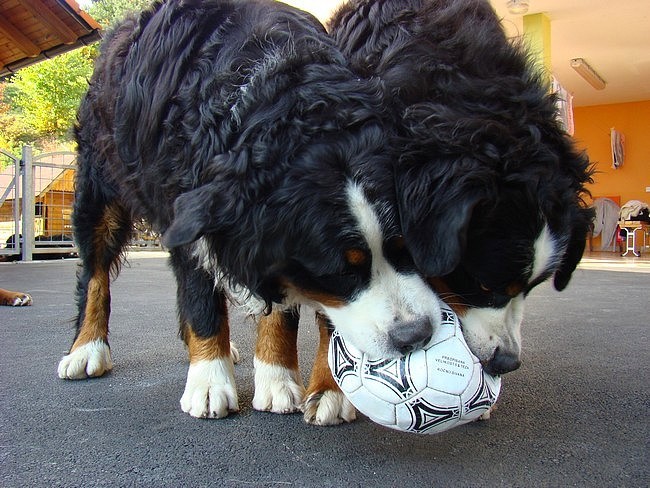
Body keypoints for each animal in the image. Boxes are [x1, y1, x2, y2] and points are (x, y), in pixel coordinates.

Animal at [58, 0, 440, 420]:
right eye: (340, 271)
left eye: (406, 246)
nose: (416, 334)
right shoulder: (188, 212)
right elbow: (201, 300)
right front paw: (209, 381)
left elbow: (290, 310)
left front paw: (297, 383)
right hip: (99, 190)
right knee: (95, 274)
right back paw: (86, 349)